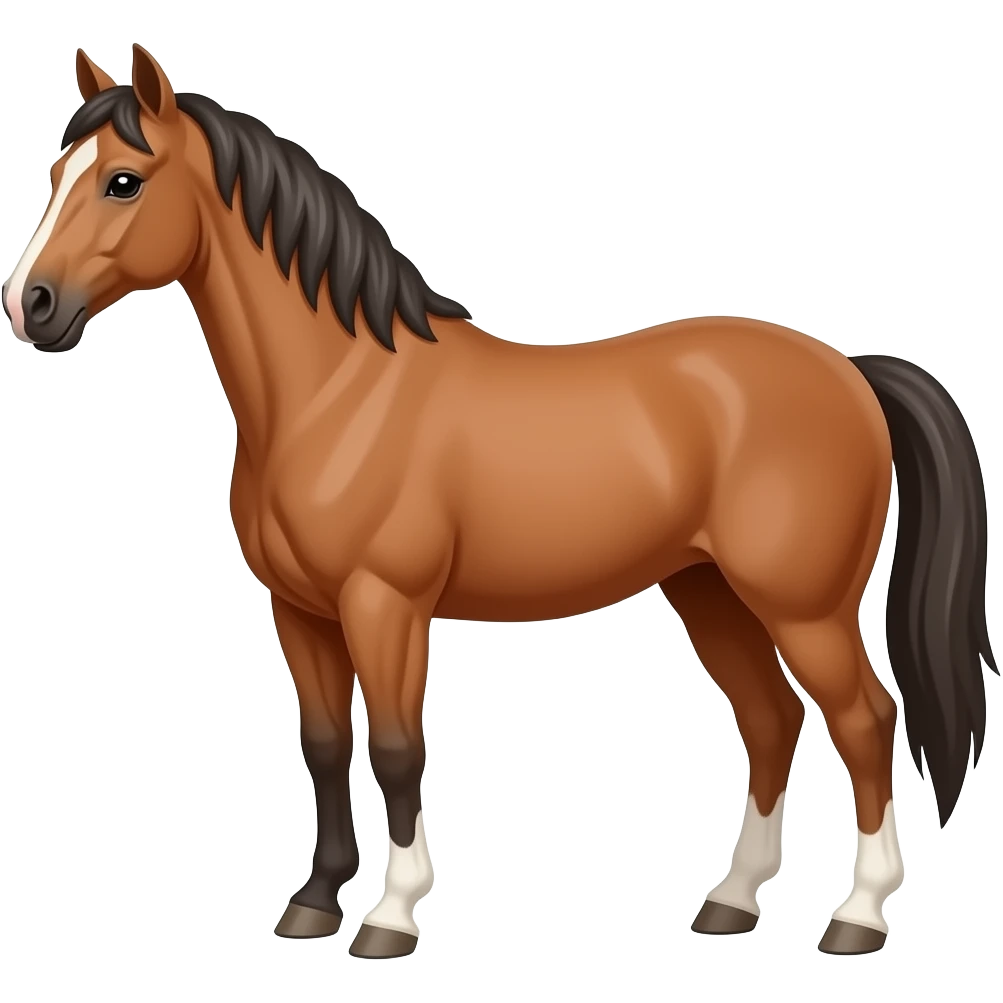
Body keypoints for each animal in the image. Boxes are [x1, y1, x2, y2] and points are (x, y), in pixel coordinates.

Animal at [3, 44, 995, 958]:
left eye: (124, 181)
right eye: (57, 177)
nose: (30, 304)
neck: (339, 391)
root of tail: (849, 371)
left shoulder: (385, 605)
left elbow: (397, 747)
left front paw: (390, 915)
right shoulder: (299, 610)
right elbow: (321, 744)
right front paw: (314, 903)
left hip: (802, 606)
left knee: (863, 719)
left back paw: (857, 914)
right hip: (708, 592)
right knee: (770, 719)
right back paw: (729, 901)